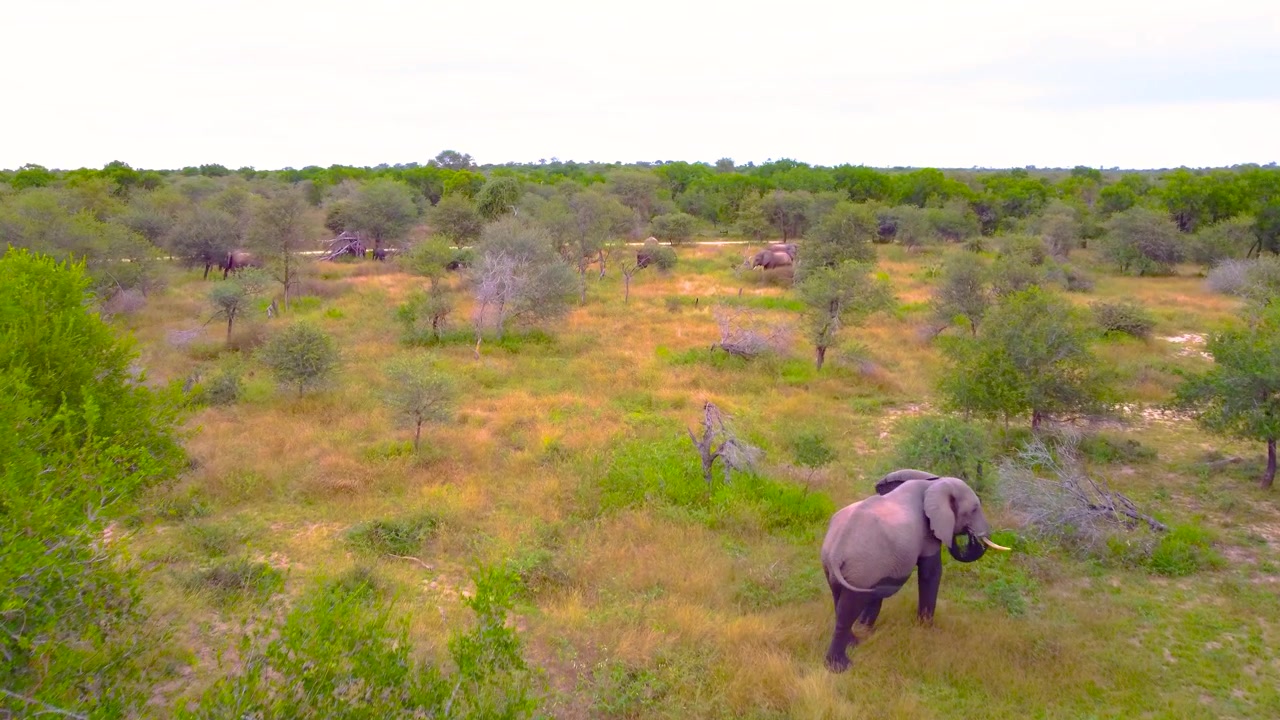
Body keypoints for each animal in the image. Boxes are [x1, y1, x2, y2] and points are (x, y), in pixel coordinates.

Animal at [819, 469, 1010, 672]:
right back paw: (840, 666)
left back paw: (854, 642)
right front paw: (927, 629)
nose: (974, 536)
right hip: (862, 569)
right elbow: (931, 573)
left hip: (841, 569)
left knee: (840, 600)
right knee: (848, 609)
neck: (933, 483)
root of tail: (836, 552)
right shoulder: (927, 534)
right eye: (974, 509)